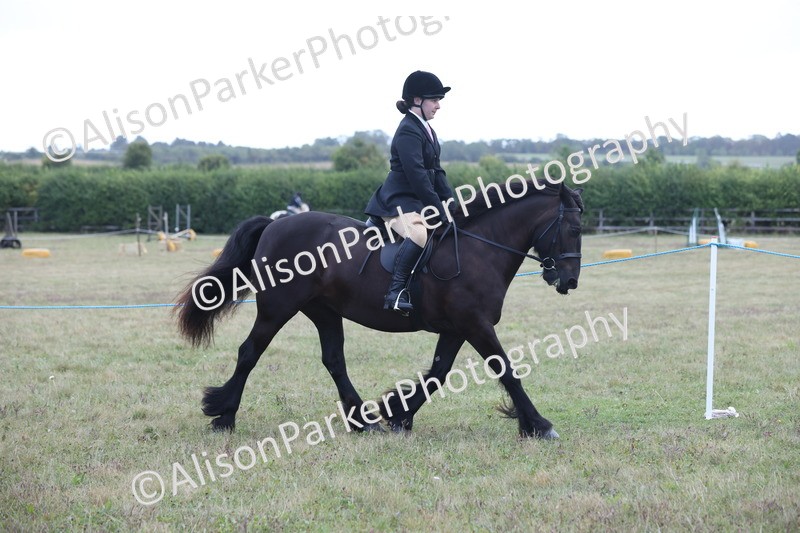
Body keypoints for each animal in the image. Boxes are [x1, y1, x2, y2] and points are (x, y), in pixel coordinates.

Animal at [175, 179, 584, 439]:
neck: (479, 248)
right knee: (250, 352)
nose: (569, 281)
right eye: (575, 230)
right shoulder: (475, 324)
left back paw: (363, 420)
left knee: (334, 360)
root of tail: (277, 224)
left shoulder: (457, 328)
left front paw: (398, 415)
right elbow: (507, 370)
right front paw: (539, 425)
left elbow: (437, 374)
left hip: (323, 311)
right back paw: (223, 415)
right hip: (278, 307)